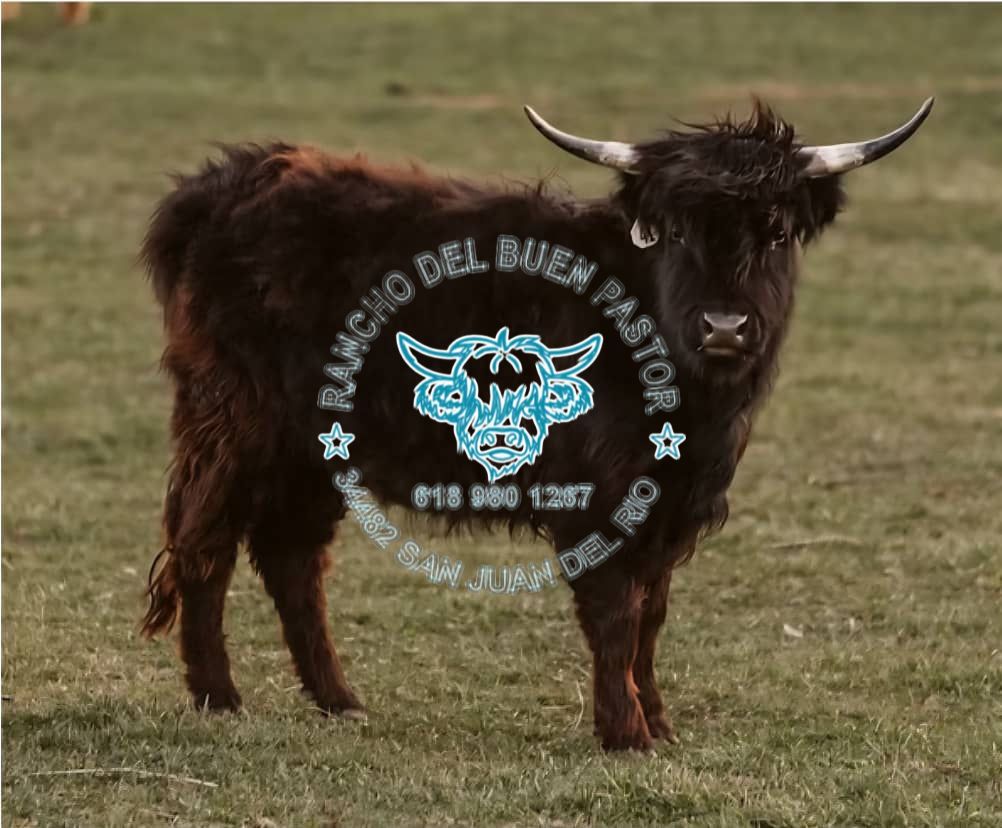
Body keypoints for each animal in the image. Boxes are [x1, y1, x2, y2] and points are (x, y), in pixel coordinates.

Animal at [140, 97, 932, 751]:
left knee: (291, 559)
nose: (725, 328)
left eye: (776, 232)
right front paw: (626, 734)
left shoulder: (670, 508)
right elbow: (616, 613)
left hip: (313, 451)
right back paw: (219, 697)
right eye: (674, 232)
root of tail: (223, 184)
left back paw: (340, 700)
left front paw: (660, 723)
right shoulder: (603, 499)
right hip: (235, 427)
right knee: (206, 545)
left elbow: (651, 616)